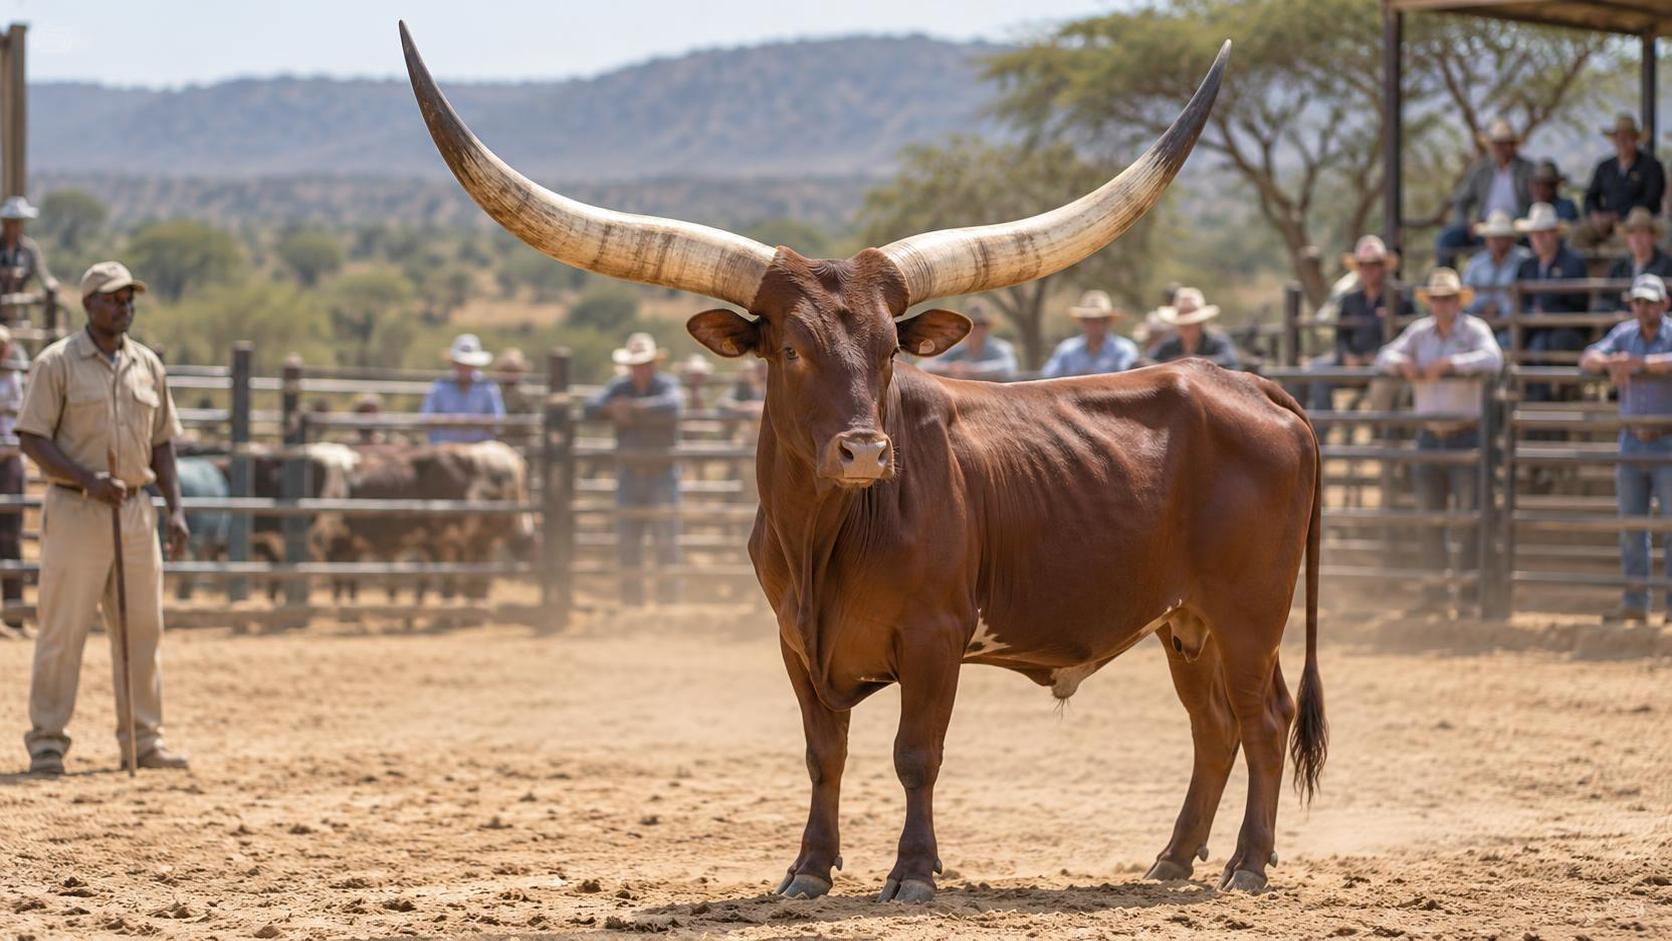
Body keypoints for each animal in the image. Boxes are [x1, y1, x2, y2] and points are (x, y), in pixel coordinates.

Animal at [404, 25, 1324, 900]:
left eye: (889, 350)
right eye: (791, 349)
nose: (864, 449)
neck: (824, 538)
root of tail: (1254, 385)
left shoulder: (936, 636)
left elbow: (916, 753)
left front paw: (913, 870)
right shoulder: (793, 640)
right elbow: (824, 753)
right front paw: (808, 867)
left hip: (1250, 611)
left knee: (1263, 719)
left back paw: (1247, 862)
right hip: (1185, 622)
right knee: (1213, 726)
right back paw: (1173, 859)